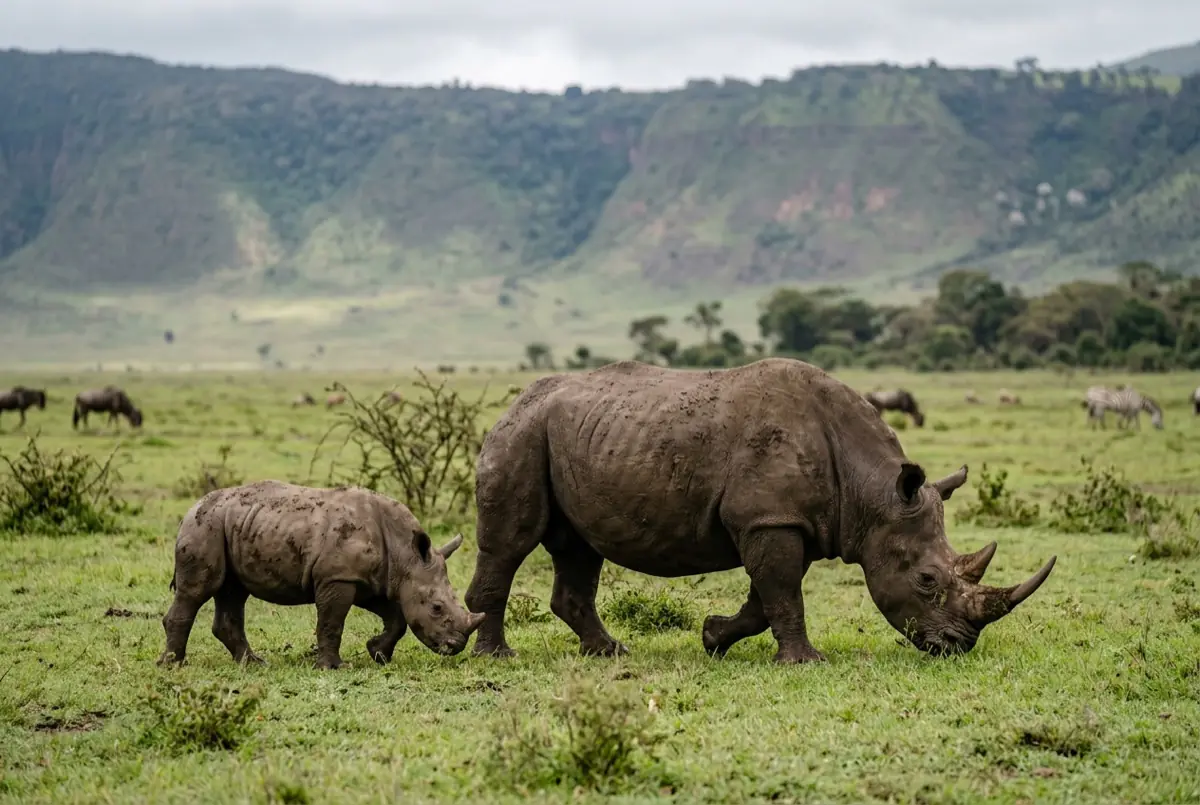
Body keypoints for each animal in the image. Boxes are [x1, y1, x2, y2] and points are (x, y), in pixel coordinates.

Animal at [159, 480, 484, 669]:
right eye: (437, 607)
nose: (455, 647)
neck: (405, 553)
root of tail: (191, 508)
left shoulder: (372, 580)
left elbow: (397, 619)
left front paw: (378, 654)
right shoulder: (338, 577)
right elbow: (331, 623)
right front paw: (333, 667)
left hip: (232, 525)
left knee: (233, 592)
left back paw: (253, 664)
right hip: (205, 526)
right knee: (199, 590)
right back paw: (172, 665)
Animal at [464, 359, 1056, 663]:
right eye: (928, 580)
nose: (958, 647)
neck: (874, 491)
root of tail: (518, 398)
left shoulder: (783, 520)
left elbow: (766, 596)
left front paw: (712, 638)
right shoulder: (770, 519)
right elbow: (783, 594)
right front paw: (806, 663)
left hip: (567, 435)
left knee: (579, 549)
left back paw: (611, 653)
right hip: (521, 435)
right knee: (512, 543)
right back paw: (497, 657)